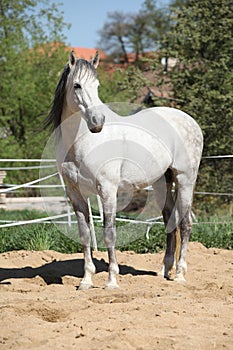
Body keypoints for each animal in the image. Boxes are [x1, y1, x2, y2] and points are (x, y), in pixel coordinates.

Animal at [44, 50, 203, 290]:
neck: (81, 141)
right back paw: (165, 271)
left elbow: (109, 233)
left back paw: (179, 275)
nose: (97, 122)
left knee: (185, 223)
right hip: (162, 182)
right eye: (77, 85)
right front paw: (86, 281)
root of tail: (191, 122)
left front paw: (111, 280)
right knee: (169, 220)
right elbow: (84, 235)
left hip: (185, 180)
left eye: (97, 85)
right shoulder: (75, 193)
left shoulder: (107, 189)